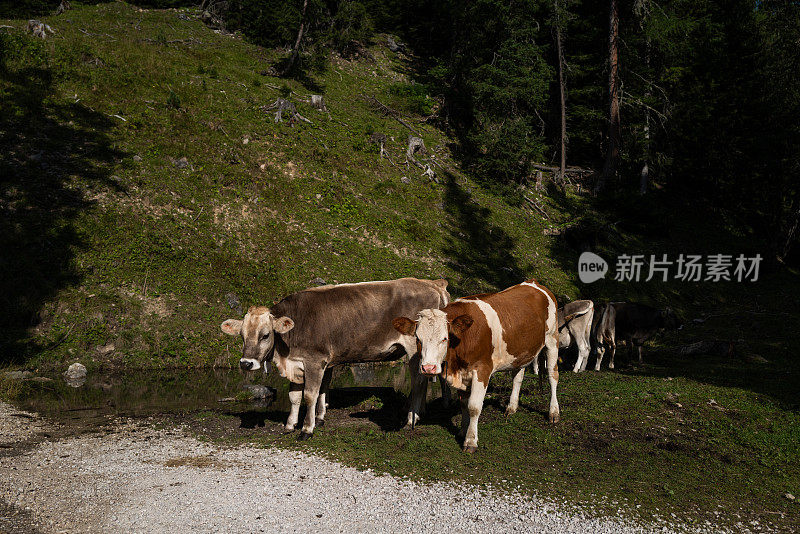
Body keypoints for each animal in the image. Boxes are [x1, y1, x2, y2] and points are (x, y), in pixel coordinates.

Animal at [222, 280, 454, 440]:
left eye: (265, 335)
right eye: (242, 335)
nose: (246, 363)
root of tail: (432, 283)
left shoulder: (314, 361)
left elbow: (310, 395)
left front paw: (307, 429)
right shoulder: (298, 363)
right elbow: (295, 397)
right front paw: (290, 425)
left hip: (416, 347)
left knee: (419, 380)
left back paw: (411, 419)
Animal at [392, 278, 556, 454]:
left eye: (444, 338)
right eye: (418, 338)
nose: (428, 368)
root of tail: (533, 282)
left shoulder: (482, 370)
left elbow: (474, 407)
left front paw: (470, 441)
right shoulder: (462, 374)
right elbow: (464, 404)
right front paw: (463, 430)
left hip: (552, 340)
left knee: (553, 377)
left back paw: (554, 413)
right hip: (520, 352)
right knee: (518, 377)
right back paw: (512, 407)